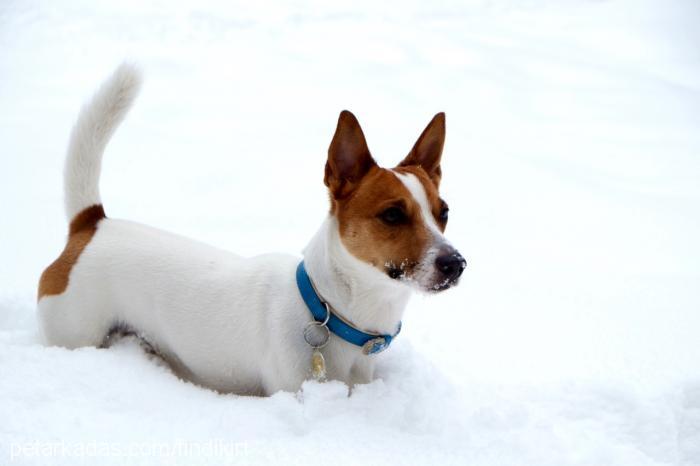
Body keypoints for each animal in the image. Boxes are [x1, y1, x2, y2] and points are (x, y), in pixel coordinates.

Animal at [37, 63, 464, 396]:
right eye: (392, 215)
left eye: (443, 212)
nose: (456, 263)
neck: (328, 307)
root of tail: (93, 224)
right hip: (74, 332)